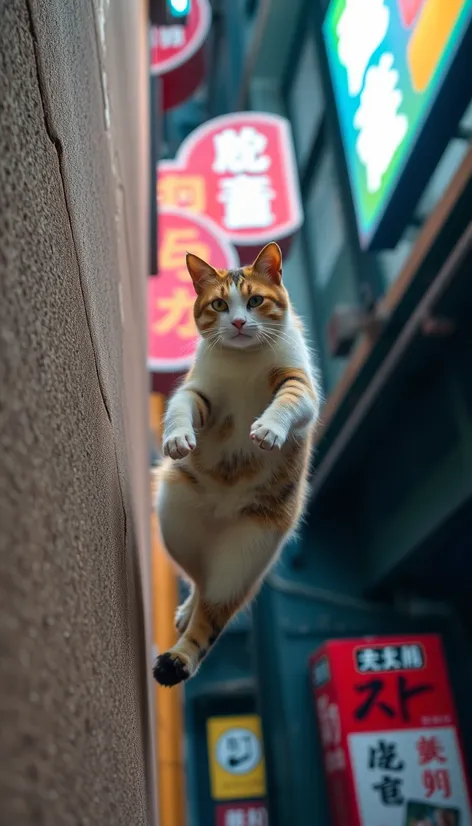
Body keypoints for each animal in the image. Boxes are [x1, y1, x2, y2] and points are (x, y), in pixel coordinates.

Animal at [153, 241, 318, 684]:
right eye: (220, 304)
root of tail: (222, 519)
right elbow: (180, 408)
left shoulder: (299, 384)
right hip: (176, 524)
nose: (241, 322)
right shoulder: (199, 392)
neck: (244, 363)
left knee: (213, 611)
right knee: (198, 582)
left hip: (244, 557)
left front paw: (269, 430)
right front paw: (178, 438)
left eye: (255, 301)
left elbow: (286, 404)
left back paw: (178, 658)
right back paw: (184, 617)